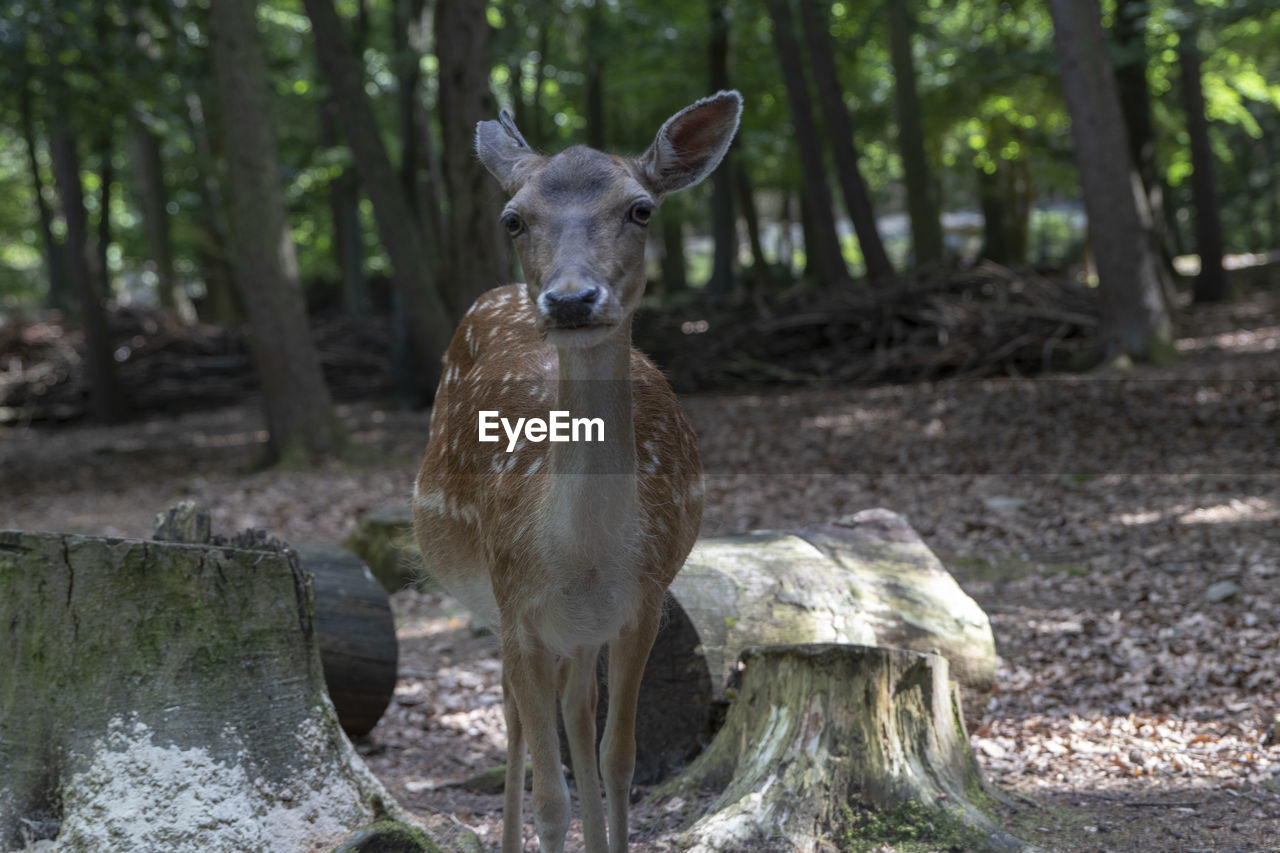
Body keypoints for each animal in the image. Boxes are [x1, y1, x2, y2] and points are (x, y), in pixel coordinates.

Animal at [414, 89, 747, 845]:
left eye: (641, 208)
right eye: (512, 217)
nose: (570, 300)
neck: (584, 557)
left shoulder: (642, 606)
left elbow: (619, 759)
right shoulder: (516, 606)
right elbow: (550, 794)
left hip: (580, 635)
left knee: (575, 712)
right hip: (495, 605)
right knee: (513, 716)